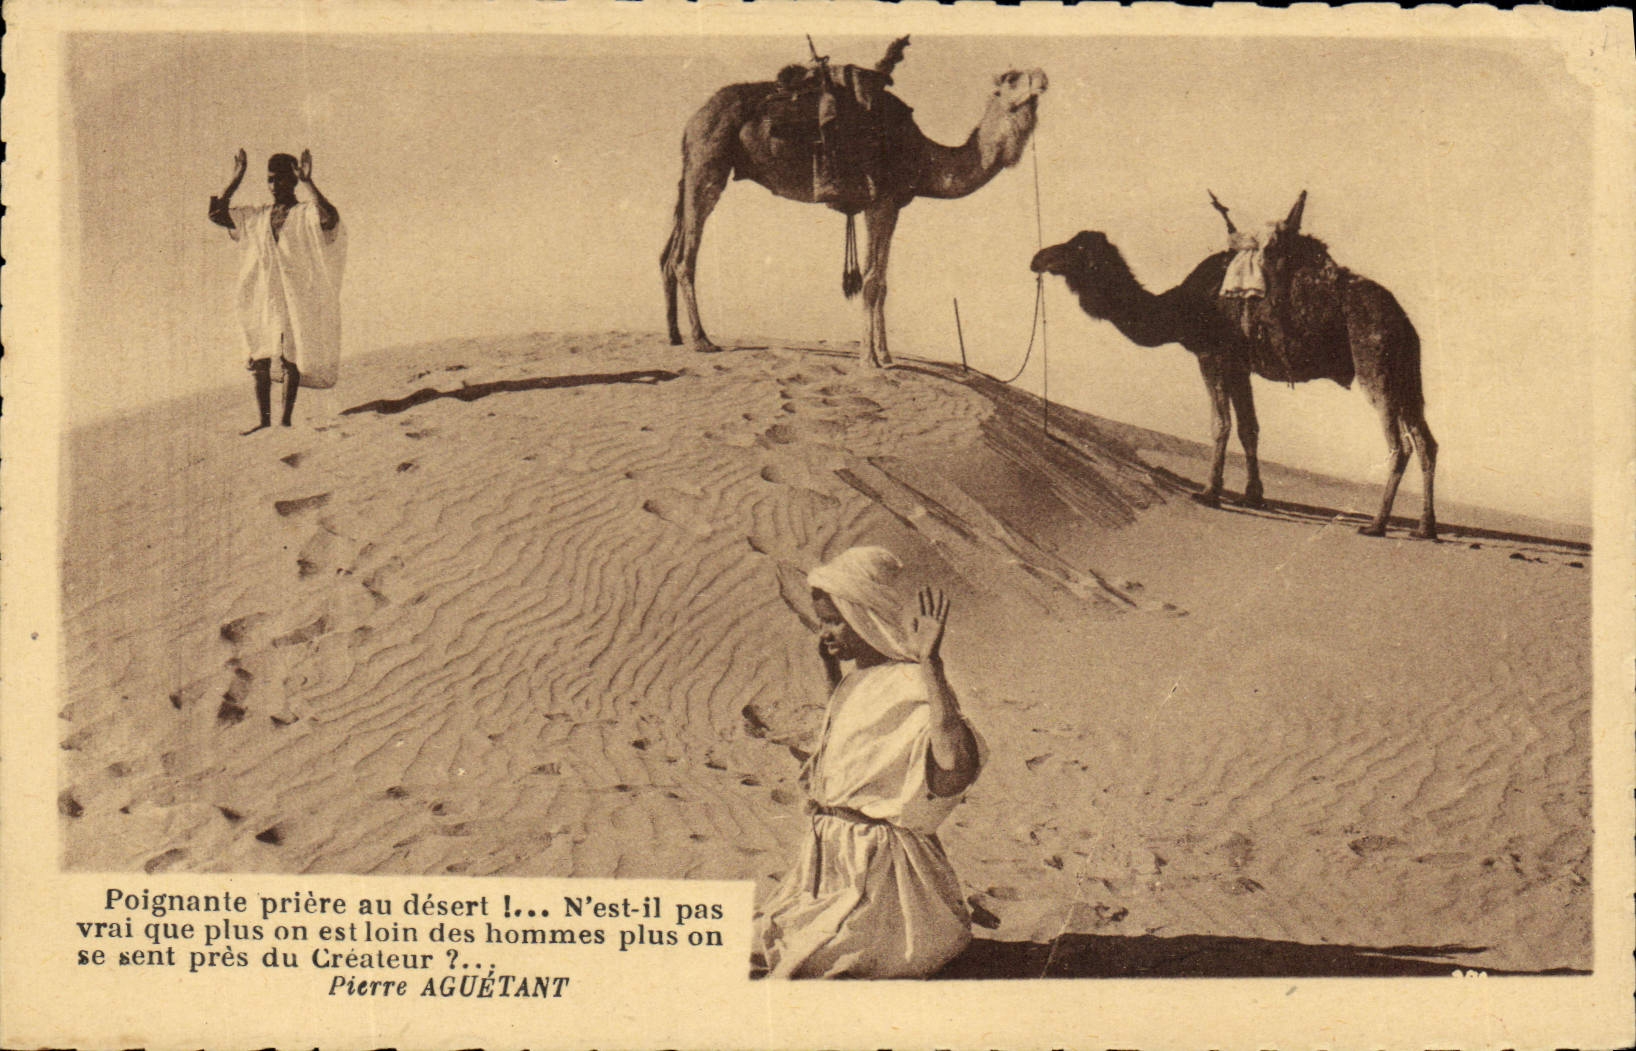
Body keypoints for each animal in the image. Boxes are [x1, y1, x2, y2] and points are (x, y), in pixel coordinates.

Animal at [661, 38, 1048, 366]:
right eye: (1011, 79)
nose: (1042, 77)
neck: (921, 154)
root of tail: (692, 120)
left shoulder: (889, 206)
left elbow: (883, 281)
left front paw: (887, 357)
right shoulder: (880, 202)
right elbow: (873, 280)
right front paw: (868, 360)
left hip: (695, 167)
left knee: (670, 253)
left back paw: (676, 336)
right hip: (708, 161)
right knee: (684, 257)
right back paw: (702, 340)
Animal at [1030, 192, 1438, 540]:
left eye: (1074, 248)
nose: (1038, 258)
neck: (1182, 307)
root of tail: (1402, 320)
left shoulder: (1212, 355)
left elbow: (1220, 424)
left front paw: (1209, 492)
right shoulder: (1240, 365)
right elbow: (1249, 428)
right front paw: (1253, 494)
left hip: (1374, 365)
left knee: (1399, 445)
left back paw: (1377, 524)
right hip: (1406, 374)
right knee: (1426, 442)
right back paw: (1424, 528)